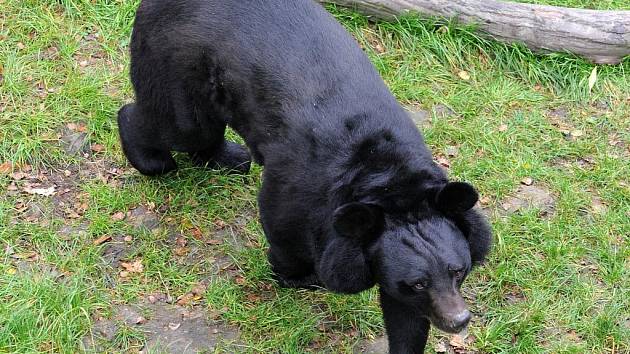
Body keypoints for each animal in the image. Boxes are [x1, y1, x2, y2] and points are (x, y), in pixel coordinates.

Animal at [118, 1, 494, 352]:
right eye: (417, 282)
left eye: (457, 271)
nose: (459, 320)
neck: (385, 175)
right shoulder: (303, 186)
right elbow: (283, 224)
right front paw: (298, 276)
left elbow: (406, 319)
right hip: (179, 61)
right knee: (178, 125)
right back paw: (151, 157)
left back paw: (229, 159)